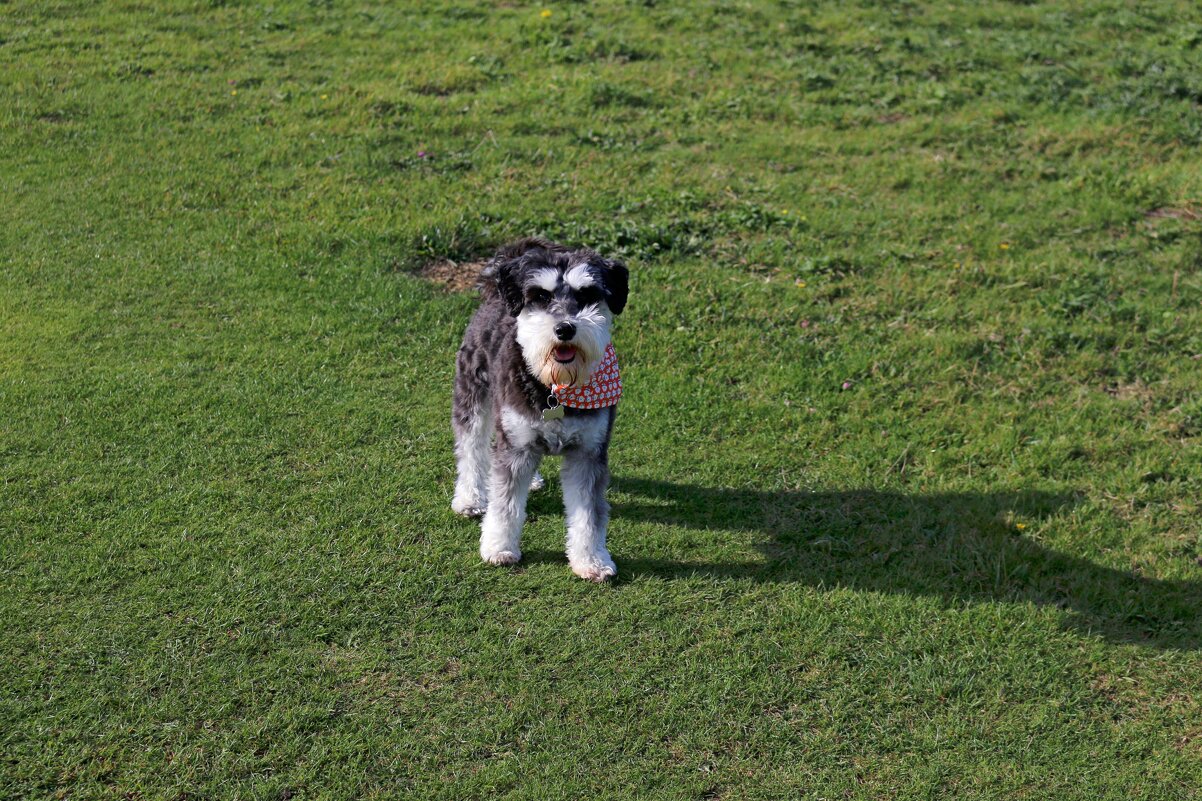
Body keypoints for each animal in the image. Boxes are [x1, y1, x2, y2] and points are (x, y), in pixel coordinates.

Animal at [451, 236, 629, 579]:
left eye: (587, 295)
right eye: (541, 297)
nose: (564, 328)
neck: (554, 387)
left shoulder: (588, 453)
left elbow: (588, 514)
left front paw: (591, 560)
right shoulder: (514, 448)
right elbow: (505, 505)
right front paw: (499, 547)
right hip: (473, 396)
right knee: (472, 449)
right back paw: (470, 497)